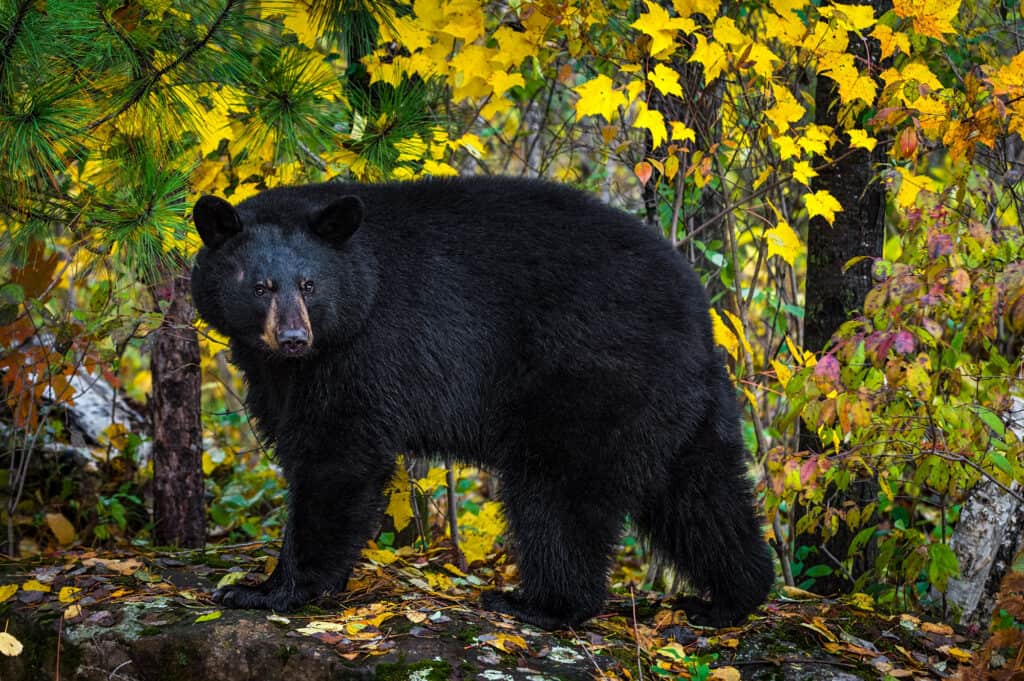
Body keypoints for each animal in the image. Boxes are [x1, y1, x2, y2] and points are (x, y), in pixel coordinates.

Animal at [190, 176, 775, 630]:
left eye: (310, 285)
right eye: (261, 286)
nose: (293, 338)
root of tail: (699, 312)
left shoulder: (366, 350)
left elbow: (336, 458)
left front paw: (267, 589)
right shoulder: (280, 371)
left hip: (589, 381)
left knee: (556, 496)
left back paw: (541, 604)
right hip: (682, 404)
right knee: (701, 492)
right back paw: (729, 599)